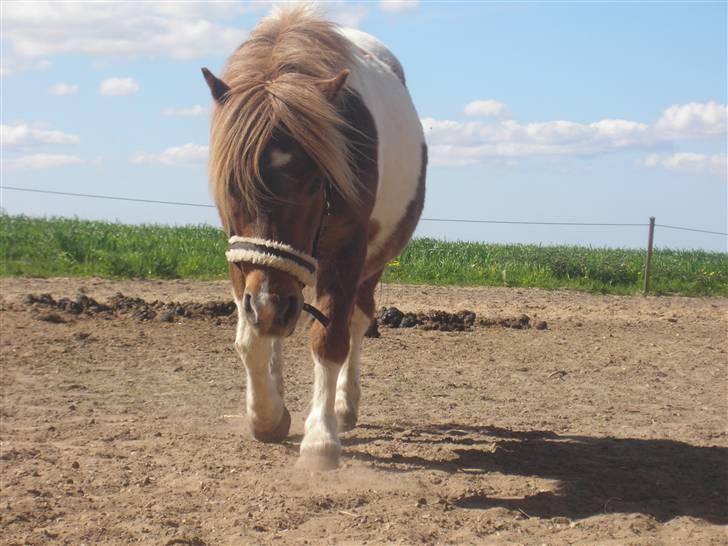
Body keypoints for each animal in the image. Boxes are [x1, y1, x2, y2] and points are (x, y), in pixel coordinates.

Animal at [202, 6, 426, 468]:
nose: (269, 304)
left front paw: (320, 438)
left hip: (370, 261)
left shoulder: (347, 250)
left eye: (314, 182)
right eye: (233, 185)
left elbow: (330, 339)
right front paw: (267, 417)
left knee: (357, 320)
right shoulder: (240, 257)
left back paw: (344, 406)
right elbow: (252, 341)